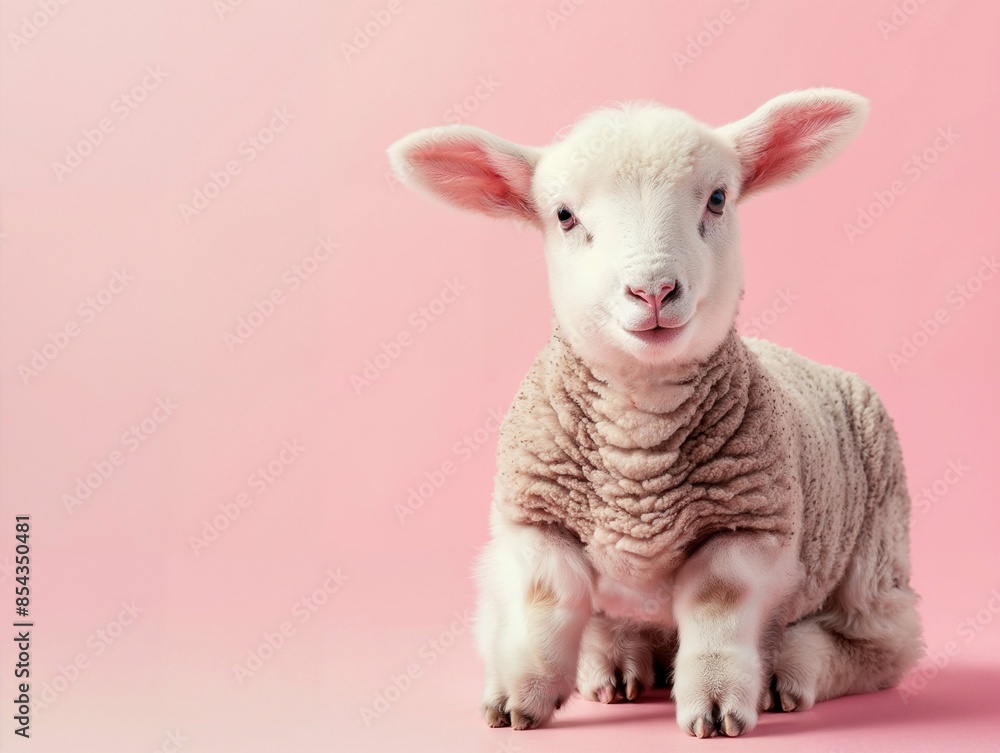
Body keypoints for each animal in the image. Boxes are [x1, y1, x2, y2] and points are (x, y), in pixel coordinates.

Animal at [387, 88, 923, 738]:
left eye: (718, 199)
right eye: (563, 216)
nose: (654, 292)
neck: (639, 441)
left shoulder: (749, 526)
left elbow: (718, 606)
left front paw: (715, 704)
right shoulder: (535, 520)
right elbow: (545, 603)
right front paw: (520, 695)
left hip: (877, 556)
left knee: (878, 644)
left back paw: (787, 667)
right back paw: (611, 660)